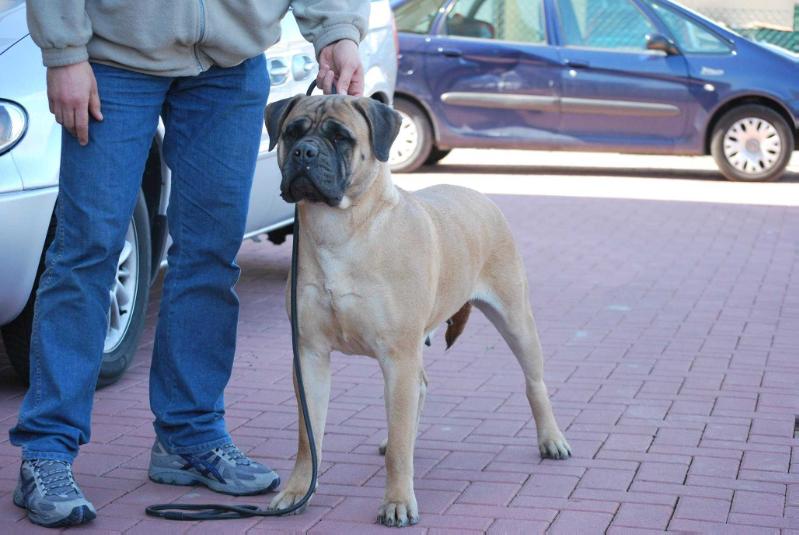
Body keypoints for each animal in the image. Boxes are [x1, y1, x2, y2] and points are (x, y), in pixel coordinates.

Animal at [262, 95, 568, 528]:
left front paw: (397, 502)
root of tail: (480, 195)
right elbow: (308, 437)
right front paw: (296, 491)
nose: (305, 152)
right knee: (417, 394)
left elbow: (399, 449)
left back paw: (551, 439)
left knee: (534, 381)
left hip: (515, 318)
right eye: (292, 132)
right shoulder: (309, 354)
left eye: (340, 137)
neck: (341, 228)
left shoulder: (398, 354)